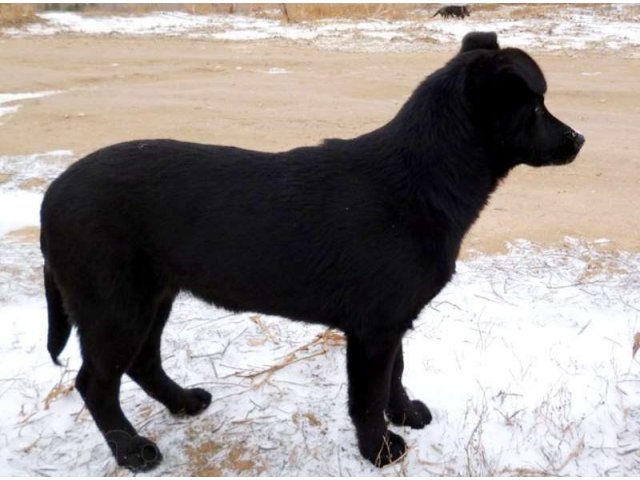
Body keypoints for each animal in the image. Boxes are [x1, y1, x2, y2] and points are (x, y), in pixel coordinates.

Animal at [41, 31, 584, 470]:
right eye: (536, 107)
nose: (578, 139)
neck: (423, 179)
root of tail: (51, 197)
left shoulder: (392, 321)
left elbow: (396, 372)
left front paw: (404, 413)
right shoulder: (373, 329)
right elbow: (367, 395)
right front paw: (379, 449)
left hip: (155, 297)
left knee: (142, 363)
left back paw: (183, 403)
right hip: (114, 306)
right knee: (96, 382)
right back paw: (132, 451)